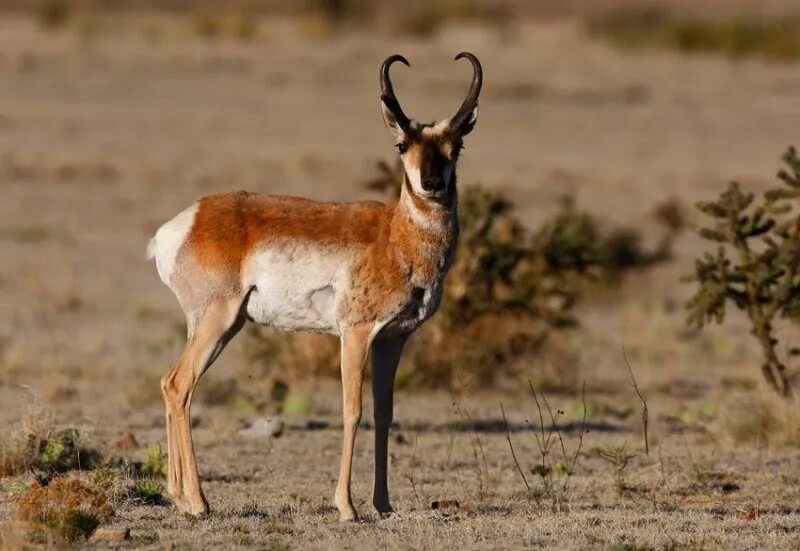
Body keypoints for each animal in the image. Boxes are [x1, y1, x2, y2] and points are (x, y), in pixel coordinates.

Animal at [147, 51, 478, 520]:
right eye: (402, 145)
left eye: (457, 146)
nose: (432, 185)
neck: (395, 235)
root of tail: (186, 221)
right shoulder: (355, 334)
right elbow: (353, 411)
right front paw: (347, 507)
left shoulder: (392, 340)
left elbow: (385, 413)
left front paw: (383, 504)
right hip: (216, 322)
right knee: (179, 384)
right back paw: (198, 502)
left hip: (226, 327)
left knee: (173, 385)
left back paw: (180, 496)